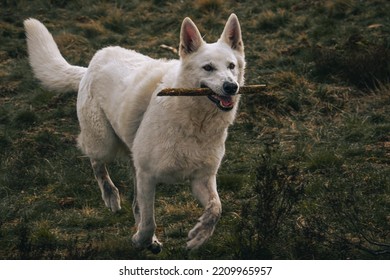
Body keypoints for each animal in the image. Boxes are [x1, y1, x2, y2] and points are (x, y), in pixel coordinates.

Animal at [24, 13, 245, 254]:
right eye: (208, 68)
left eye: (231, 66)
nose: (231, 87)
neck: (195, 122)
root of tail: (92, 63)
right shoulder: (148, 176)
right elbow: (149, 221)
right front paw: (141, 240)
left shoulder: (201, 179)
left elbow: (216, 208)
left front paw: (199, 235)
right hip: (104, 143)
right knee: (96, 162)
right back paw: (111, 196)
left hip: (132, 159)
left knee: (134, 200)